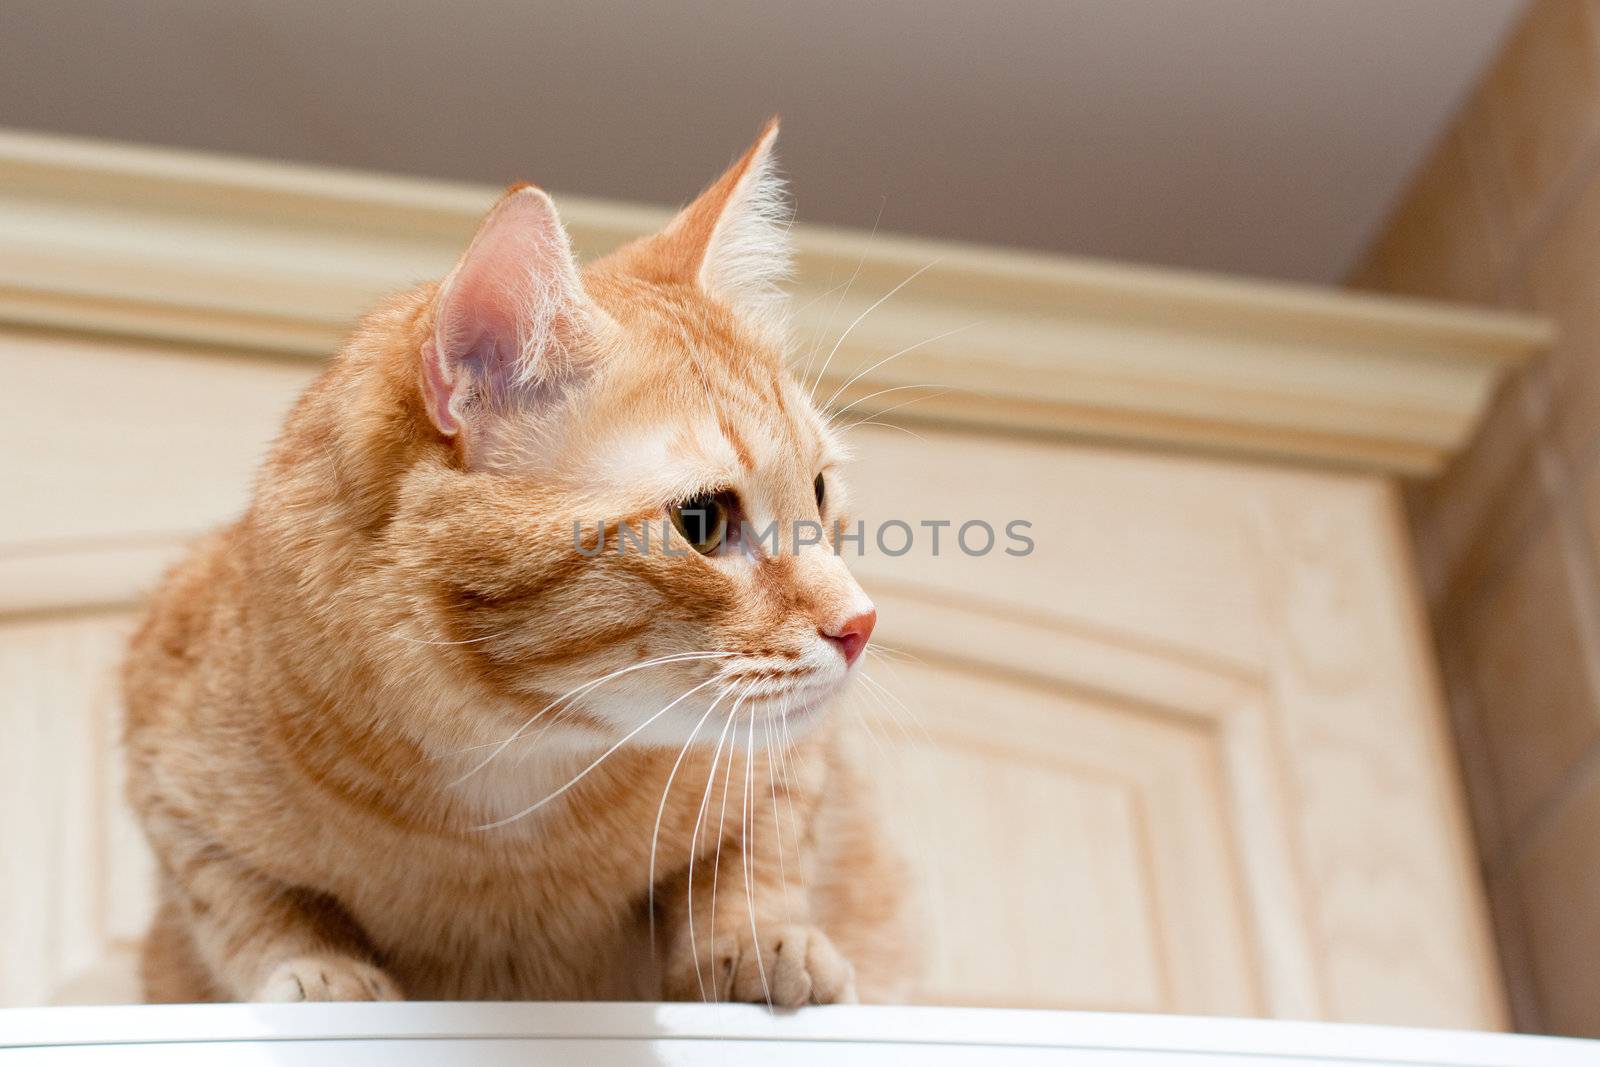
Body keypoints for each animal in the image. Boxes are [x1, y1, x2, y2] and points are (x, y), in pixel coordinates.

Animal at [123, 120, 915, 1004]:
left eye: (819, 488)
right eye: (703, 521)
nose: (861, 623)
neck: (513, 774)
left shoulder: (794, 767)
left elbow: (752, 857)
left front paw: (758, 939)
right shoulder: (164, 762)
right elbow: (245, 904)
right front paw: (319, 971)